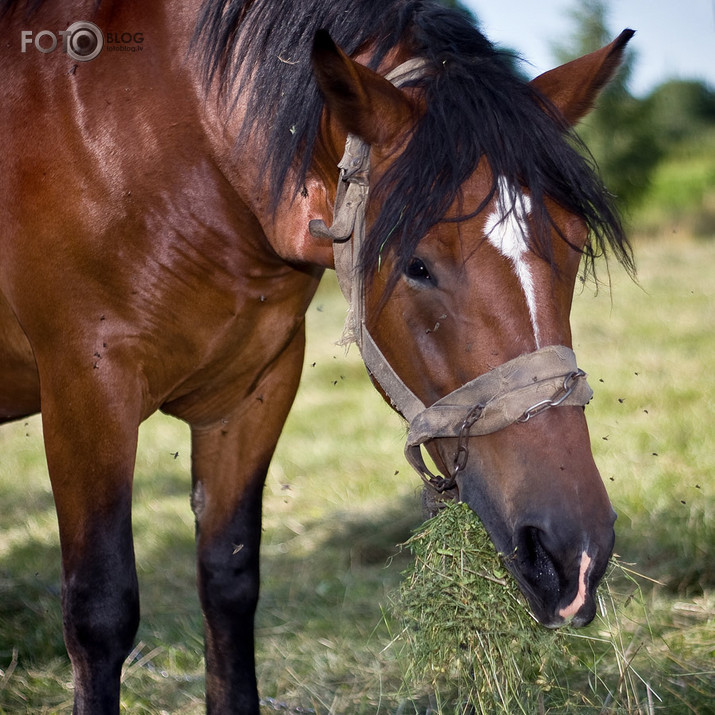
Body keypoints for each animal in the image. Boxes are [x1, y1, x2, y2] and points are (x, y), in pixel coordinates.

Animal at [2, 0, 636, 712]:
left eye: (574, 246)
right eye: (417, 265)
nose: (575, 554)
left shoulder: (254, 394)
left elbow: (229, 581)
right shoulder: (87, 390)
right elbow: (100, 611)